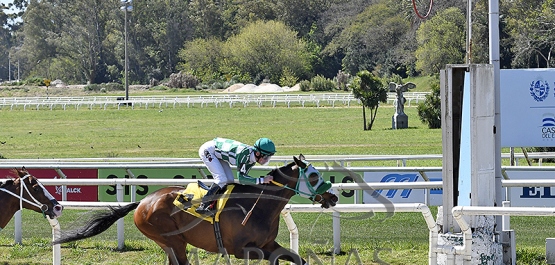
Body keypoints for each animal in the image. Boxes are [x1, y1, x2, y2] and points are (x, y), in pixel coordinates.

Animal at [53, 154, 338, 262]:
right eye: (314, 176)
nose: (333, 197)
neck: (257, 207)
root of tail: (143, 202)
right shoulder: (242, 250)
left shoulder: (268, 244)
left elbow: (295, 259)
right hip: (172, 240)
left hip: (169, 244)